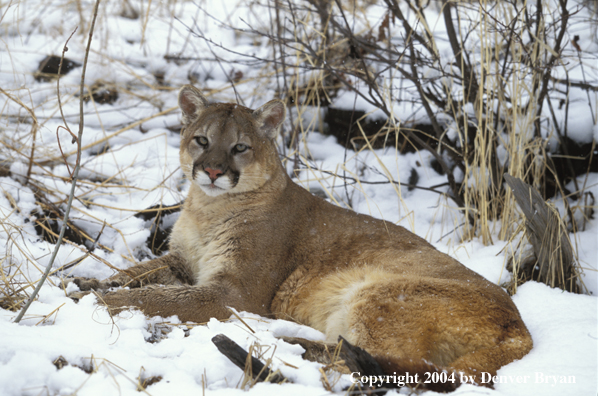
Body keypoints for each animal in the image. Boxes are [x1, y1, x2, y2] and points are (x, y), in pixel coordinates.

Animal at [70, 85, 536, 392]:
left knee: (392, 365)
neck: (207, 208)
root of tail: (520, 327)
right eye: (201, 140)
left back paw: (278, 342)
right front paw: (84, 282)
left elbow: (158, 297)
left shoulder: (232, 291)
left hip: (383, 294)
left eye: (240, 147)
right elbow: (139, 272)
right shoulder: (182, 262)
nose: (214, 171)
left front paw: (98, 302)